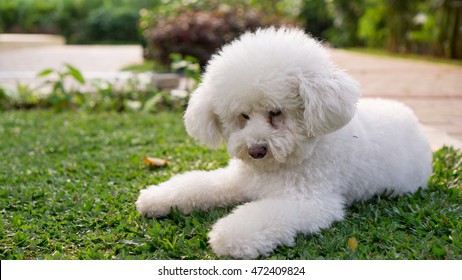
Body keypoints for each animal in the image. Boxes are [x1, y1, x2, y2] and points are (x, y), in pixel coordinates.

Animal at [135, 26, 432, 258]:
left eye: (276, 112)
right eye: (243, 116)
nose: (255, 150)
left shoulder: (310, 202)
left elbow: (261, 215)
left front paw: (229, 236)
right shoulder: (240, 180)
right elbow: (198, 185)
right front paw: (156, 198)